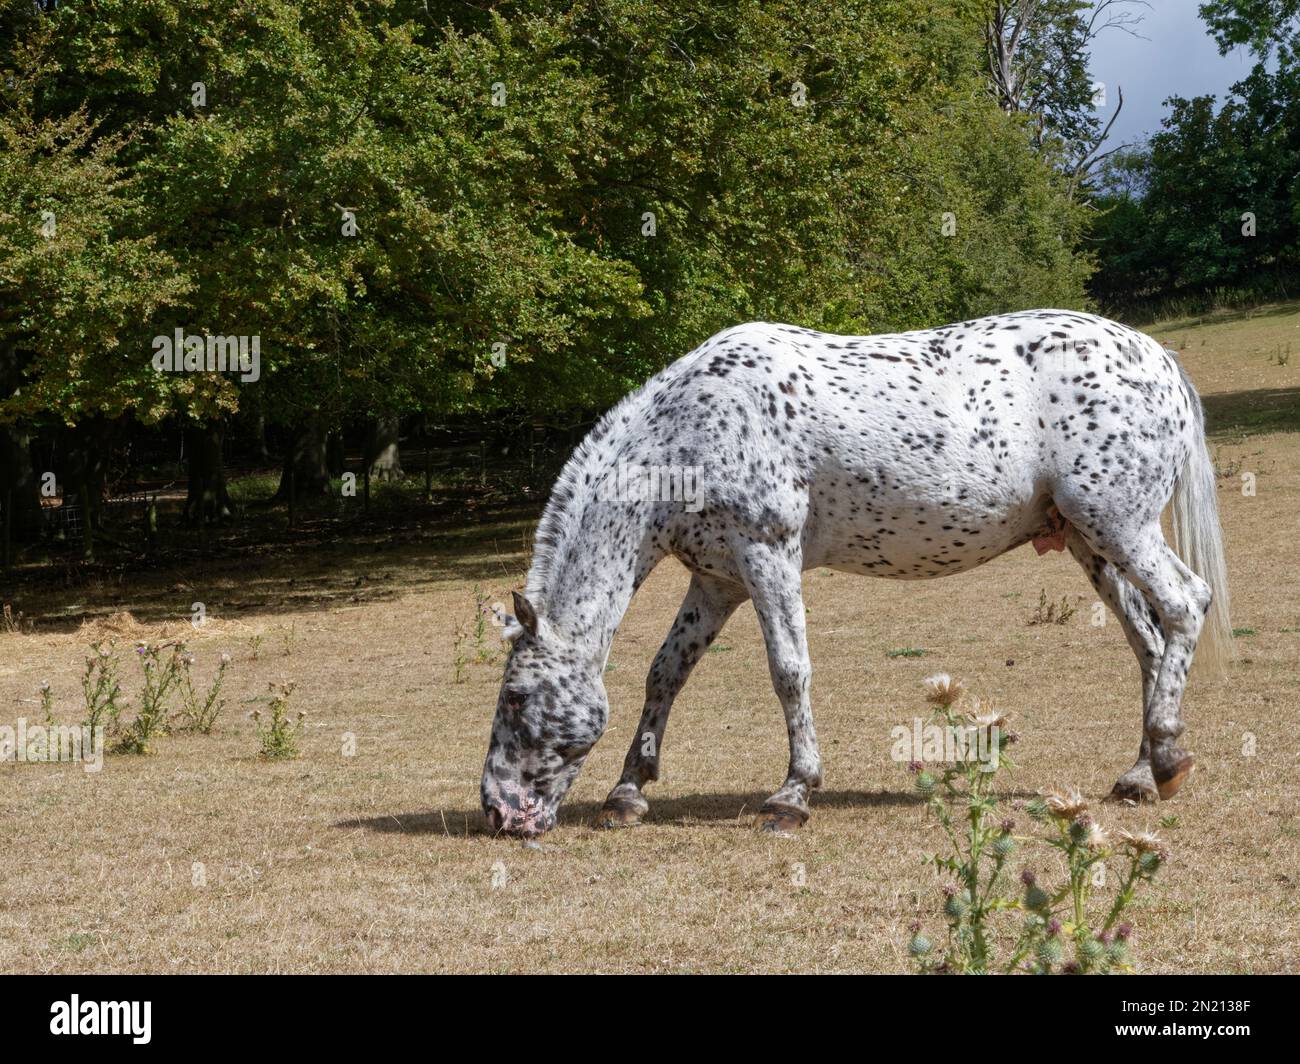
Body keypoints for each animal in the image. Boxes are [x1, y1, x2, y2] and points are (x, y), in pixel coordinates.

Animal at [478, 308, 1227, 837]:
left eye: (514, 698)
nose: (497, 812)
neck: (691, 428)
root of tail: (1157, 356)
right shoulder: (717, 580)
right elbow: (666, 671)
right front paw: (628, 792)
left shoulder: (768, 554)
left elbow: (789, 670)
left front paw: (792, 794)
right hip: (1089, 541)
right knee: (1149, 643)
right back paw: (1139, 777)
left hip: (1120, 526)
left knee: (1185, 604)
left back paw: (1166, 755)